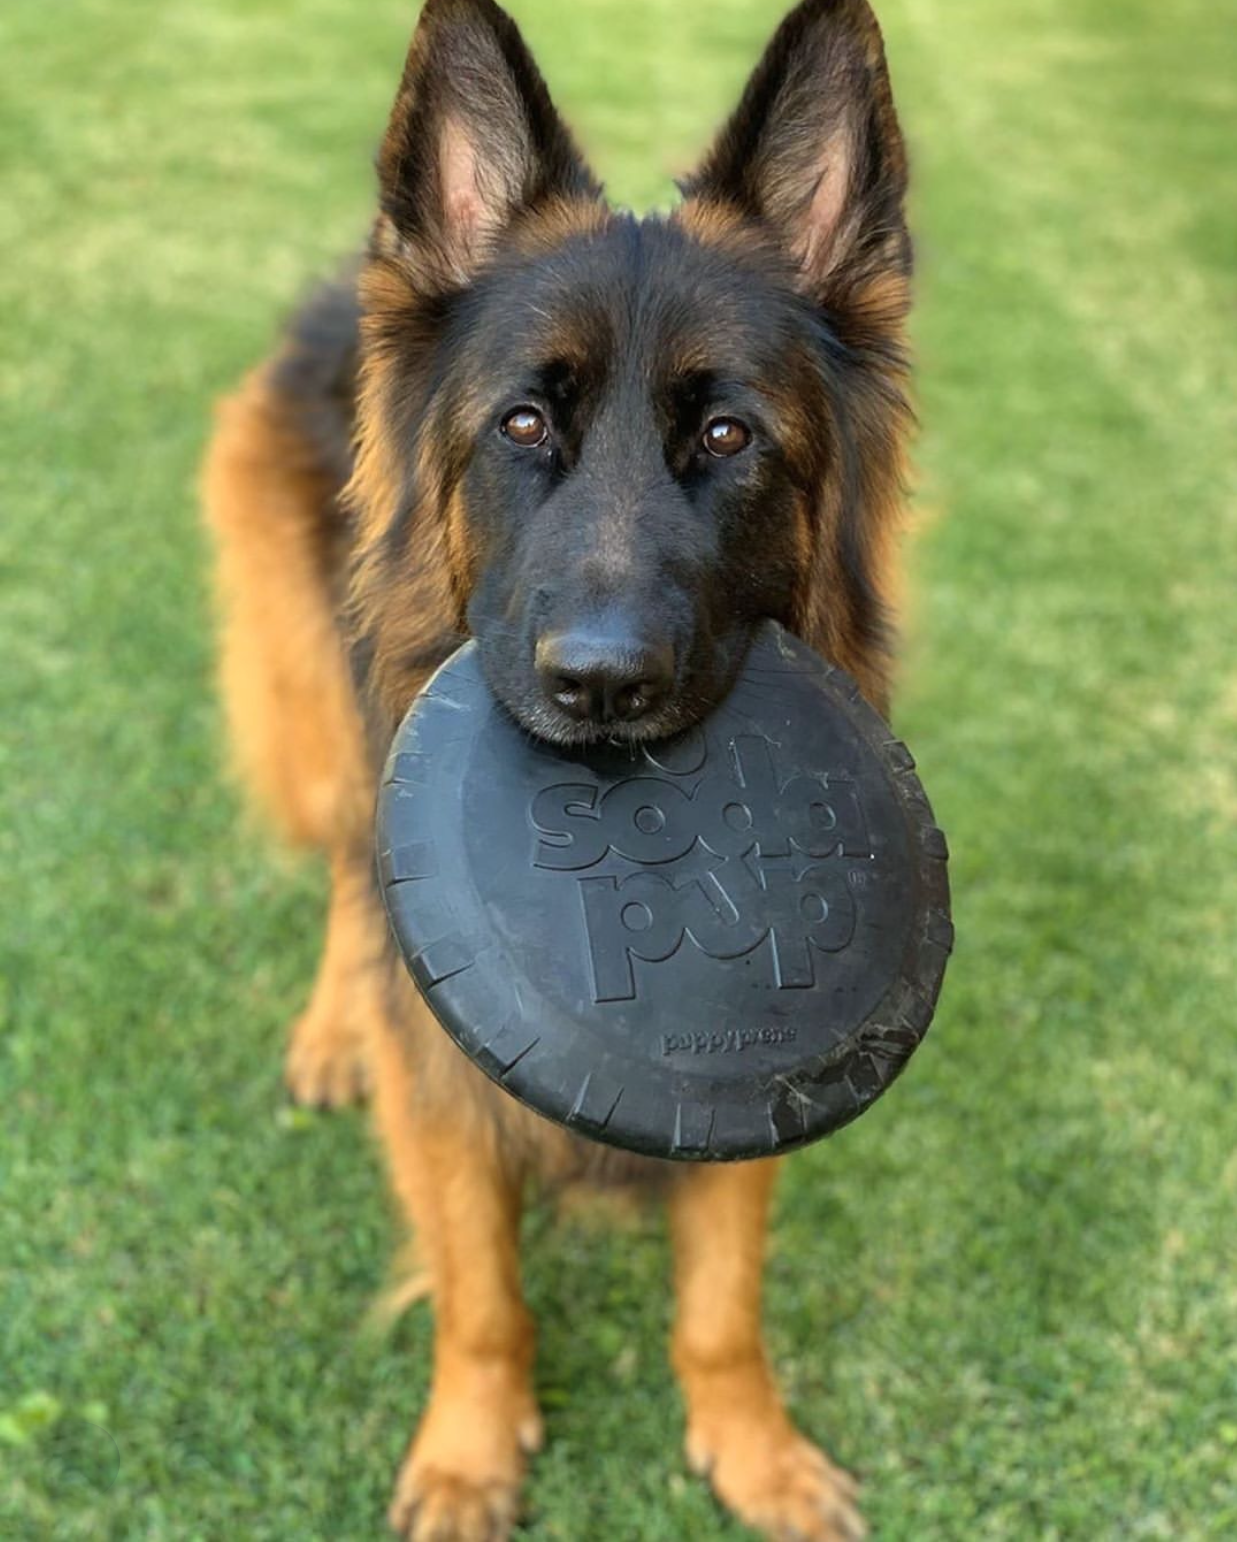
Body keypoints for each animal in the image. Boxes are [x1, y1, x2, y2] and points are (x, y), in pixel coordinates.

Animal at [202, 6, 913, 1535]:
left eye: (727, 435)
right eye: (524, 426)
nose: (600, 687)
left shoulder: (760, 1080)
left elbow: (721, 1297)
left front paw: (752, 1445)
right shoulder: (446, 1064)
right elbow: (480, 1289)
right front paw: (470, 1451)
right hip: (323, 714)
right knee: (348, 867)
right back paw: (333, 1026)